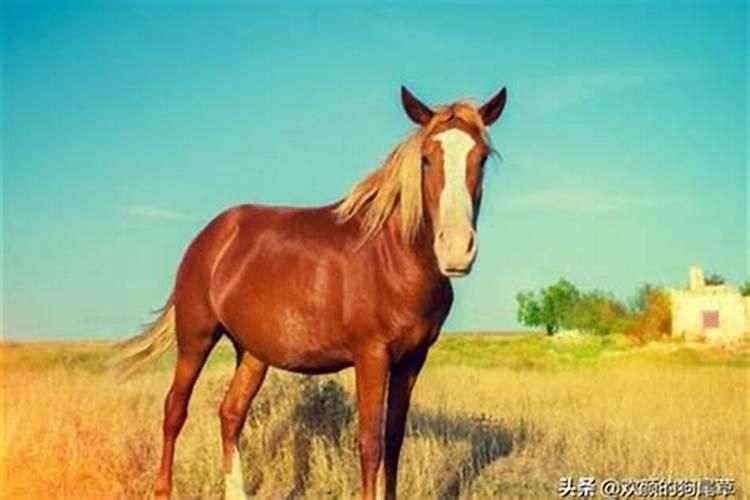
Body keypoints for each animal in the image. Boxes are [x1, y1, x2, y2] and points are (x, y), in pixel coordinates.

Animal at [119, 85, 507, 500]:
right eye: (426, 159)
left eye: (481, 159)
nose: (456, 250)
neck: (393, 257)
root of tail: (210, 235)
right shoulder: (372, 356)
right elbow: (370, 444)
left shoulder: (412, 359)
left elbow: (393, 442)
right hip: (196, 337)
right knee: (175, 410)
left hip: (253, 353)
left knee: (231, 413)